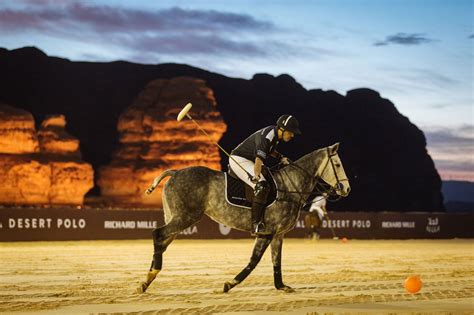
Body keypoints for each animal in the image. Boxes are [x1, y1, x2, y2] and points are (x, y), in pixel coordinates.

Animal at [136, 142, 348, 296]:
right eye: (337, 164)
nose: (346, 189)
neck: (290, 187)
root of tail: (175, 172)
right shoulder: (267, 231)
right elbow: (254, 261)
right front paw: (229, 284)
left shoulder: (277, 234)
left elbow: (276, 261)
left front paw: (281, 286)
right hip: (185, 217)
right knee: (157, 234)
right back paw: (151, 274)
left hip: (177, 217)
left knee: (162, 242)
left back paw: (146, 281)